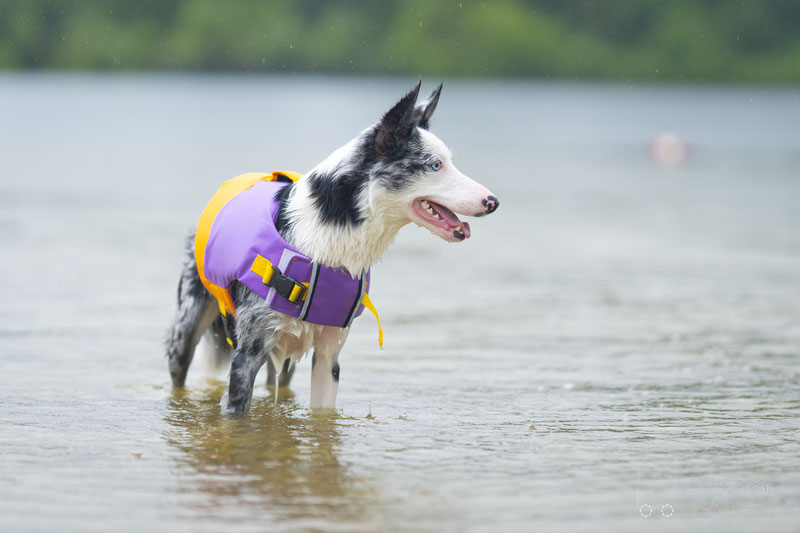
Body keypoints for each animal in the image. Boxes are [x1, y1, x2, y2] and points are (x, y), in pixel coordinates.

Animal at [165, 83, 496, 414]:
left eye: (448, 162)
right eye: (435, 166)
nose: (493, 201)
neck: (332, 231)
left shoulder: (328, 353)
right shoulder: (247, 354)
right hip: (185, 331)